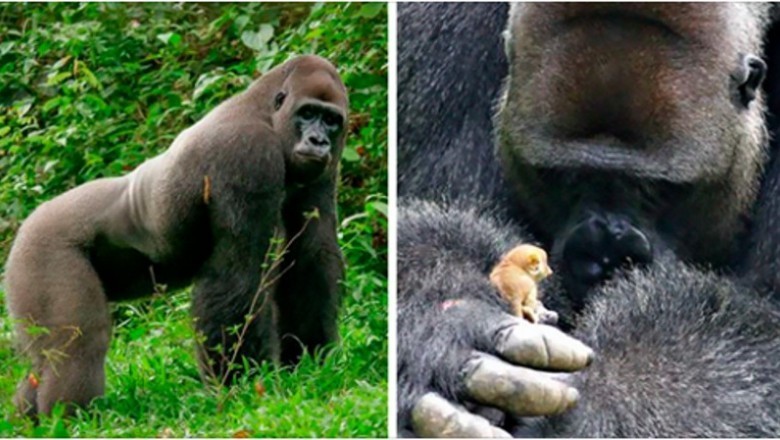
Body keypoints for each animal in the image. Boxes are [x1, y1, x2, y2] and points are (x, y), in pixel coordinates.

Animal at [3, 54, 348, 416]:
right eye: (307, 113)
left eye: (331, 120)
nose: (318, 141)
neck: (265, 110)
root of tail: (29, 221)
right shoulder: (247, 154)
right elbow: (240, 276)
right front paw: (243, 385)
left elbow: (310, 257)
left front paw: (310, 360)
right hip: (42, 247)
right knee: (78, 347)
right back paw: (73, 418)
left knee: (44, 361)